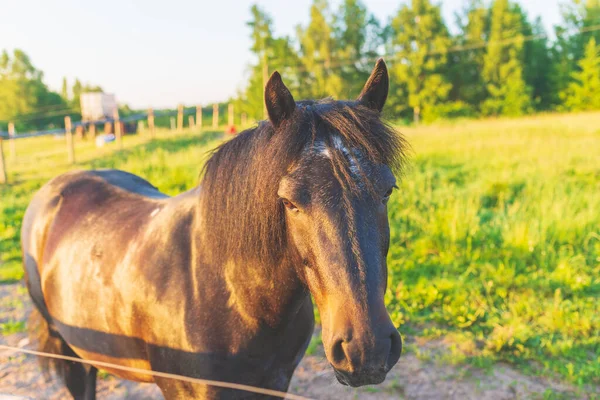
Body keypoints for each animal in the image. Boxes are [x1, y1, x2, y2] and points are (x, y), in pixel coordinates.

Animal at [22, 60, 408, 400]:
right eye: (289, 202)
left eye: (387, 190)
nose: (366, 349)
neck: (234, 296)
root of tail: (53, 190)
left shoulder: (274, 383)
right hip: (72, 356)